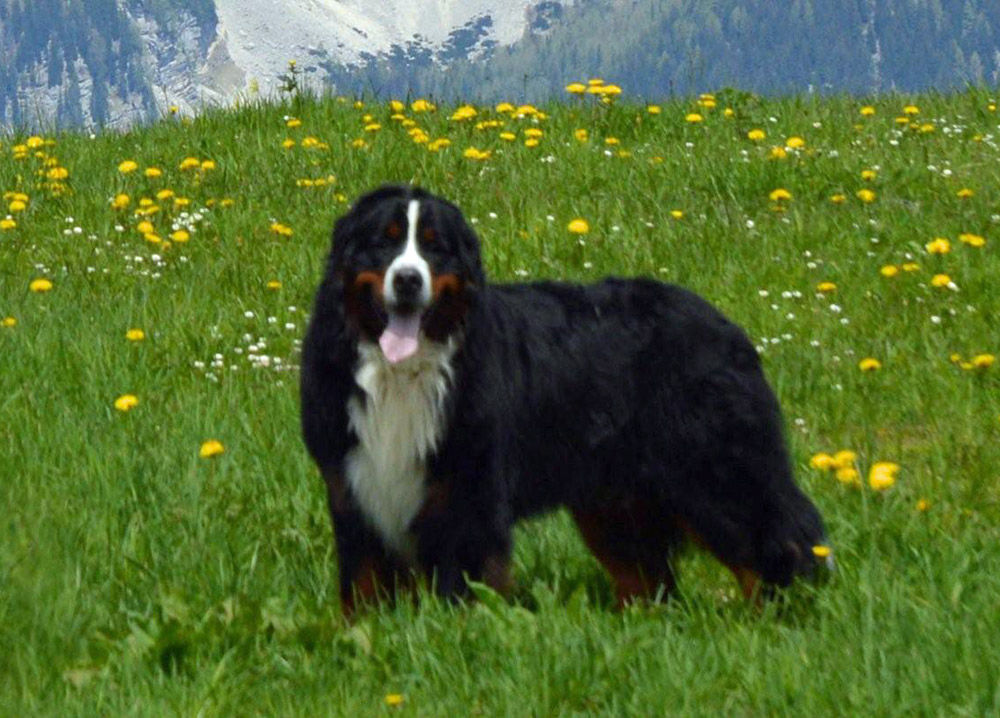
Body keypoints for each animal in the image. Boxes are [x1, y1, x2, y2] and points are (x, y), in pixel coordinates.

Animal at [301, 184, 829, 615]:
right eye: (384, 241)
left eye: (435, 247)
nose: (408, 279)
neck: (403, 373)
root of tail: (727, 326)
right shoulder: (357, 487)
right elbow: (362, 587)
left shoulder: (469, 493)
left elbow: (465, 585)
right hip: (616, 503)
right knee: (647, 577)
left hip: (713, 470)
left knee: (779, 541)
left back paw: (781, 617)